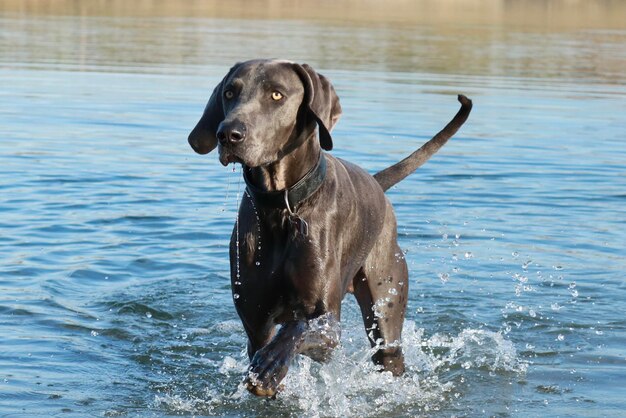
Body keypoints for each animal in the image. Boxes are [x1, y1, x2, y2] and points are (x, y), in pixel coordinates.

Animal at [188, 58, 470, 396]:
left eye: (277, 95)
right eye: (230, 92)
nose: (228, 134)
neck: (282, 207)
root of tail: (376, 183)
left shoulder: (328, 326)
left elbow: (296, 328)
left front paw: (271, 365)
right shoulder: (256, 325)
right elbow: (270, 341)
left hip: (386, 306)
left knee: (387, 350)